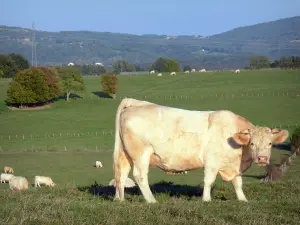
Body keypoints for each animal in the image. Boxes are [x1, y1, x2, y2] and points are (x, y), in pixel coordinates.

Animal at [112, 97, 288, 203]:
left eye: (270, 143)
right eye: (252, 143)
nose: (262, 158)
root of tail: (137, 103)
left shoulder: (235, 166)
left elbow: (238, 183)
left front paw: (243, 199)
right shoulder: (212, 161)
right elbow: (208, 180)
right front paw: (206, 200)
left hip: (125, 154)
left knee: (121, 174)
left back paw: (120, 200)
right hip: (141, 154)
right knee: (140, 176)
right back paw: (152, 201)